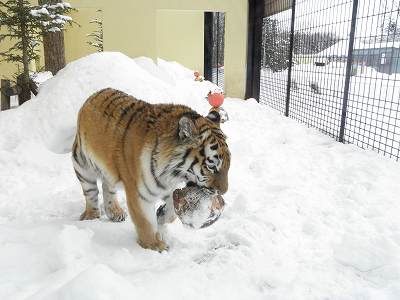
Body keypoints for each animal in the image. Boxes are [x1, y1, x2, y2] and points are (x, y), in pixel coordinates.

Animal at [70, 88, 230, 252]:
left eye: (228, 165)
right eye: (211, 166)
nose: (223, 191)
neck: (172, 174)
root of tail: (96, 94)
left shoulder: (166, 186)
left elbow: (172, 212)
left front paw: (161, 214)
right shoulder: (139, 194)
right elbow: (145, 222)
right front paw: (155, 246)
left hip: (109, 171)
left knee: (107, 186)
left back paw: (115, 212)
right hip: (82, 164)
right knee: (91, 192)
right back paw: (91, 217)